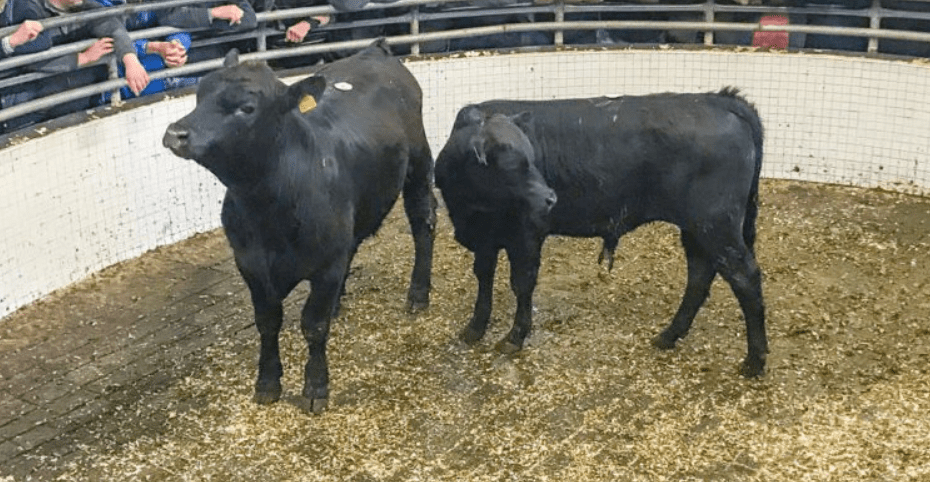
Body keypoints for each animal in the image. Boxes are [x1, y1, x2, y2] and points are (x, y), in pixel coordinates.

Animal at [162, 39, 436, 413]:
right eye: (199, 94)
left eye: (247, 108)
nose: (175, 133)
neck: (267, 207)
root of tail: (373, 51)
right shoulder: (251, 264)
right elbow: (267, 322)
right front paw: (267, 383)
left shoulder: (326, 265)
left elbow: (314, 325)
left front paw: (316, 387)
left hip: (419, 162)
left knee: (423, 221)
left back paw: (418, 294)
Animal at [434, 88, 767, 377]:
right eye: (508, 165)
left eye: (530, 158)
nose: (550, 198)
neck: (473, 211)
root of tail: (718, 99)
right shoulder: (486, 238)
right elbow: (484, 277)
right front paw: (475, 328)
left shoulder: (527, 233)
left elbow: (522, 284)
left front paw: (515, 336)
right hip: (697, 229)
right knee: (699, 276)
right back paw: (669, 335)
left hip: (717, 226)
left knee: (745, 277)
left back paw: (755, 360)